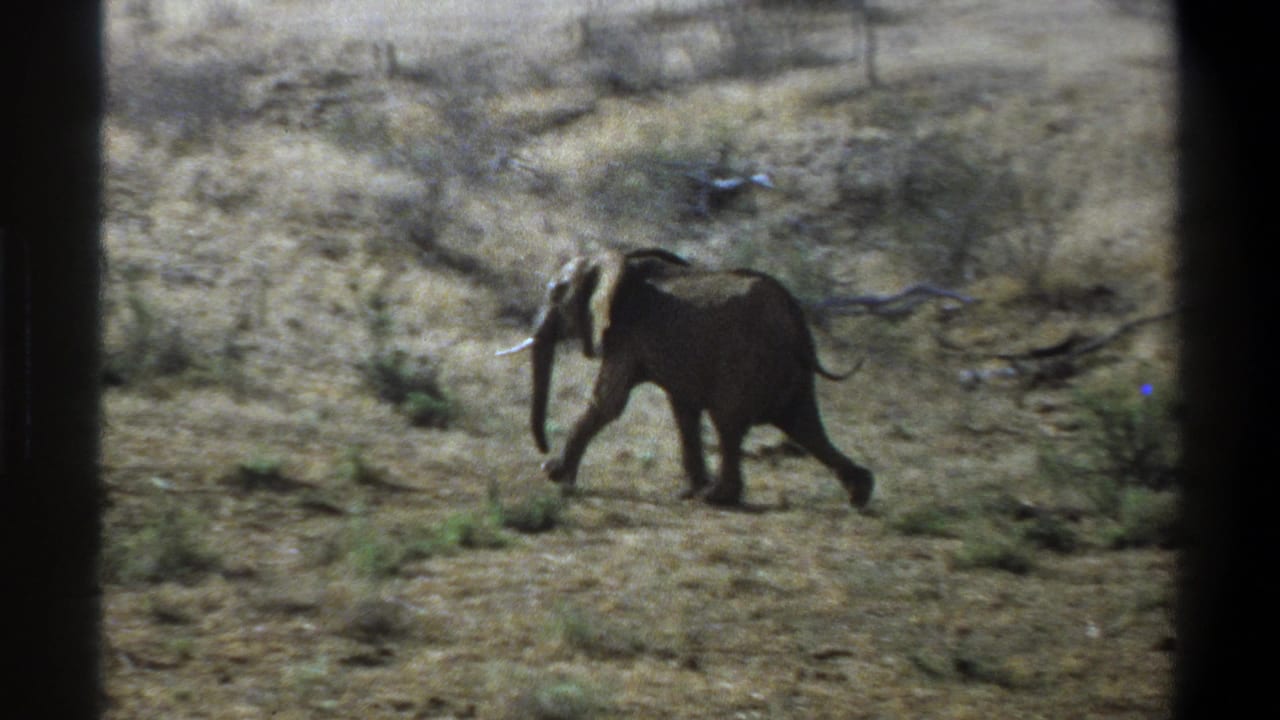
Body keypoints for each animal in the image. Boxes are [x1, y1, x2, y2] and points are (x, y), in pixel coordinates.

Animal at [498, 248, 874, 508]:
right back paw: (860, 493)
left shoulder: (626, 334)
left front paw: (553, 474)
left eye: (556, 294)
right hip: (788, 369)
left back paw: (717, 498)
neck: (613, 260)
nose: (544, 450)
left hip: (746, 359)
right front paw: (686, 491)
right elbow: (683, 410)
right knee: (804, 425)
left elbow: (608, 402)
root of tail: (796, 315)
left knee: (729, 421)